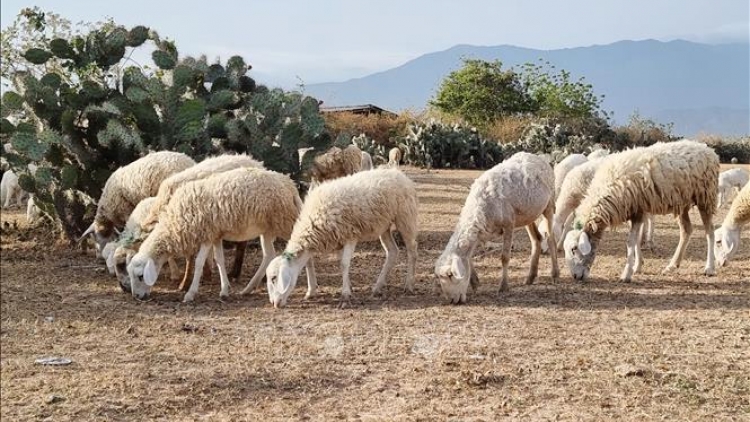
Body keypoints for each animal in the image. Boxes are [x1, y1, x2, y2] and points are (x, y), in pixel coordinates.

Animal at [129, 166, 318, 302]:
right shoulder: (215, 235)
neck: (174, 222)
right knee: (269, 254)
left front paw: (190, 294)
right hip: (267, 228)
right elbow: (219, 260)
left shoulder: (206, 234)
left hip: (285, 222)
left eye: (140, 276)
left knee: (306, 252)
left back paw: (311, 290)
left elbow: (199, 263)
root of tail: (290, 184)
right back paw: (248, 289)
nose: (137, 297)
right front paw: (225, 290)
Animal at [266, 166, 420, 308]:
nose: (275, 303)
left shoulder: (350, 235)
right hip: (384, 226)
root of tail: (398, 173)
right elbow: (335, 262)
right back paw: (377, 287)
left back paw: (409, 284)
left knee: (412, 250)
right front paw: (317, 291)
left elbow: (344, 264)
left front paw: (345, 294)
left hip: (405, 217)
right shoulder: (338, 239)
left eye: (274, 278)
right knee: (392, 251)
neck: (312, 222)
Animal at [434, 152, 560, 304]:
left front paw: (503, 286)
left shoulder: (508, 224)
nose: (453, 300)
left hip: (549, 205)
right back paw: (530, 277)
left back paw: (555, 274)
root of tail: (537, 156)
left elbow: (504, 257)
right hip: (528, 214)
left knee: (551, 239)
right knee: (537, 239)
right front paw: (475, 282)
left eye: (451, 275)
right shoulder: (481, 231)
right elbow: (469, 258)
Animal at [564, 141, 724, 284]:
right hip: (682, 202)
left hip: (705, 196)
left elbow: (630, 242)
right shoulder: (636, 210)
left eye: (573, 249)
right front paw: (637, 266)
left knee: (710, 232)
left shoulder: (638, 210)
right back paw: (672, 265)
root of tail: (708, 149)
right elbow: (636, 241)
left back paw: (709, 268)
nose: (575, 276)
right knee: (686, 230)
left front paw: (626, 274)